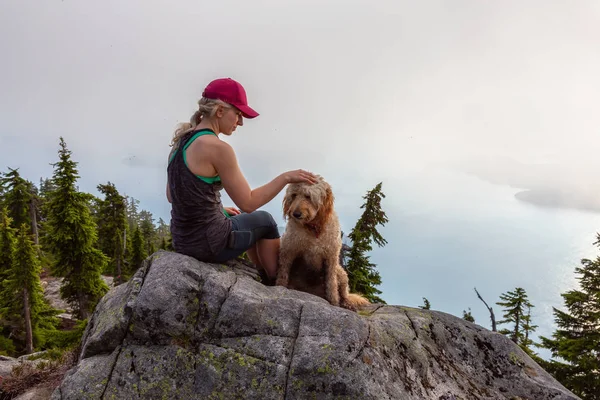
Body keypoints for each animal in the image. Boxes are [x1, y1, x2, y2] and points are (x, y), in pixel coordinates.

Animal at [278, 176, 370, 312]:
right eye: (294, 195)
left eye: (308, 196)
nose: (295, 214)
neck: (314, 227)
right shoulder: (288, 249)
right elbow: (283, 272)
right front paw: (279, 286)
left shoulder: (331, 257)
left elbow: (332, 284)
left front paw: (334, 302)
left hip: (341, 273)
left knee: (344, 293)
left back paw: (346, 303)